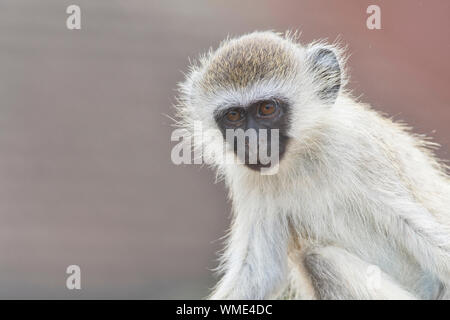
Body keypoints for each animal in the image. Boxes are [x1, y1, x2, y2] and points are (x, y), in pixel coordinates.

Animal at [177, 31, 450, 298]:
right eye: (233, 116)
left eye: (267, 108)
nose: (251, 141)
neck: (301, 155)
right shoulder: (250, 179)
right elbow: (261, 273)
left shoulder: (360, 151)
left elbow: (427, 235)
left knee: (320, 260)